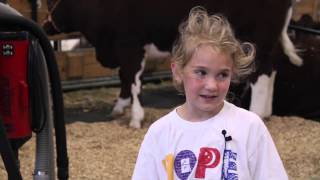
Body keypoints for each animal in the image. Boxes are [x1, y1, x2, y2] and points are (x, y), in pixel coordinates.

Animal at [42, 0, 302, 128]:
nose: (45, 25)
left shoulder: (130, 43)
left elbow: (132, 79)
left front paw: (135, 117)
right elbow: (125, 77)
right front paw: (119, 106)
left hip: (257, 38)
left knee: (262, 75)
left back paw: (257, 112)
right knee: (272, 70)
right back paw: (265, 113)